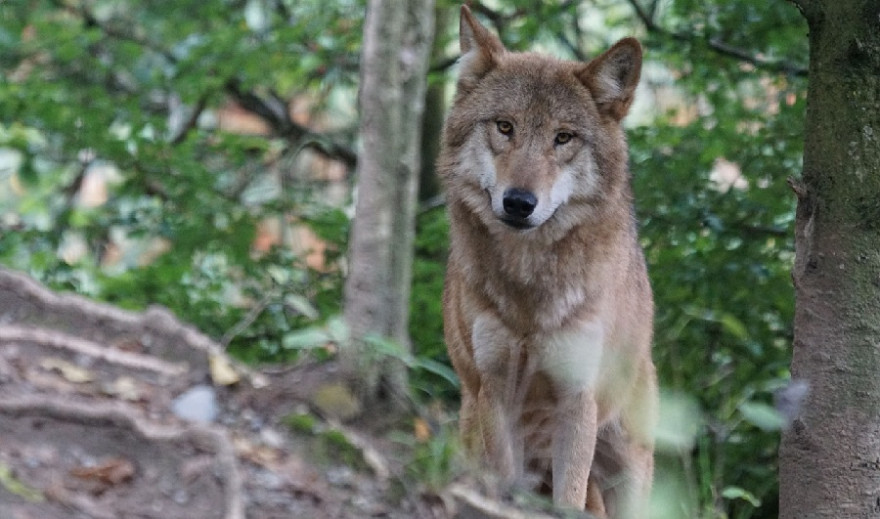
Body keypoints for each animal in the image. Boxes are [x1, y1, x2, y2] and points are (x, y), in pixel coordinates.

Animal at [436, 6, 656, 516]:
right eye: (504, 127)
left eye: (563, 137)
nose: (519, 202)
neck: (529, 291)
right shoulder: (495, 391)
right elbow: (502, 484)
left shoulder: (577, 400)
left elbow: (569, 499)